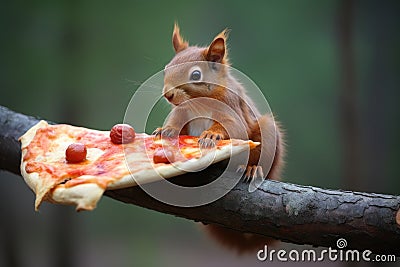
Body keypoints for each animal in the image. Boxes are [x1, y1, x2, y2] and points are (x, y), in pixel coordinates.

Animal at [153, 24, 284, 254]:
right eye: (166, 68)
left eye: (196, 74)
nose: (168, 95)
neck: (199, 103)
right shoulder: (182, 112)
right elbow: (177, 121)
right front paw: (165, 130)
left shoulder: (233, 109)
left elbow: (234, 128)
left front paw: (212, 134)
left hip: (267, 134)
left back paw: (252, 168)